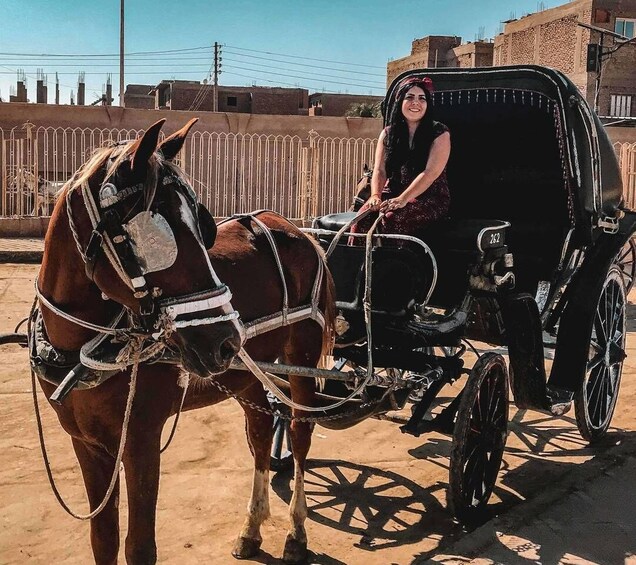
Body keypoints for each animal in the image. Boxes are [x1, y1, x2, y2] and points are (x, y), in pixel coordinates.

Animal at [33, 117, 338, 560]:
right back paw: (252, 528)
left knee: (299, 434)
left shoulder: (141, 441)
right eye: (156, 235)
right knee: (261, 430)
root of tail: (294, 229)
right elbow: (103, 540)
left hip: (301, 358)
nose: (226, 340)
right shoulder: (86, 443)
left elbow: (139, 546)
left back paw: (297, 533)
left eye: (200, 227)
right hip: (245, 373)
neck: (82, 353)